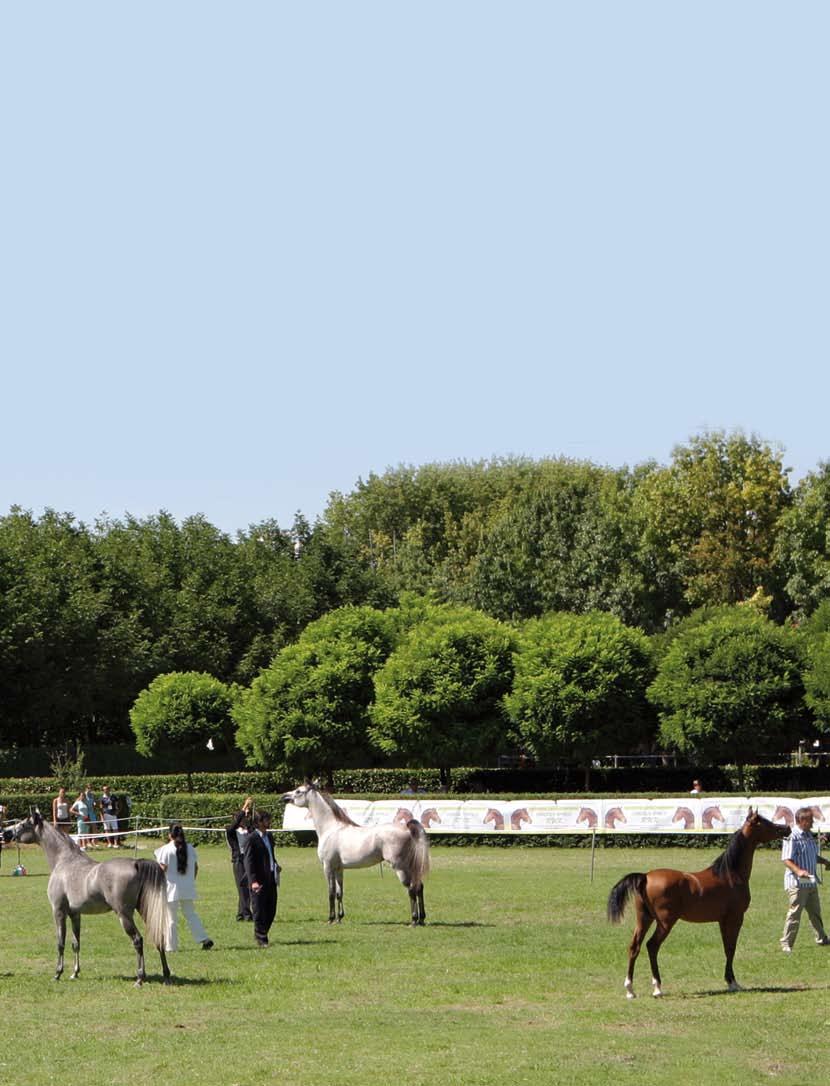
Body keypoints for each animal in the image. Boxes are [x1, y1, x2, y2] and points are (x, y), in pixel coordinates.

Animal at [2, 816, 171, 986]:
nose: (5, 833)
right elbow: (75, 943)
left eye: (23, 824)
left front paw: (58, 973)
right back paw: (166, 975)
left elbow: (60, 943)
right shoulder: (75, 914)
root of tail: (135, 863)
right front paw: (74, 973)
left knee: (137, 940)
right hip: (145, 910)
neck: (64, 862)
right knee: (159, 936)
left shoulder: (58, 912)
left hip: (124, 915)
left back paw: (140, 978)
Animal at [282, 781, 430, 925]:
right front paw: (339, 918)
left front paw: (330, 919)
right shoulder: (338, 869)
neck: (331, 829)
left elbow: (330, 893)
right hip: (410, 866)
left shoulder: (328, 867)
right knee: (419, 887)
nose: (284, 797)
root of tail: (407, 827)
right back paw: (421, 919)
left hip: (400, 867)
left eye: (298, 791)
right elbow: (339, 893)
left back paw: (414, 920)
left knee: (411, 889)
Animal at [608, 807, 790, 999]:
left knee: (634, 947)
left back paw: (630, 990)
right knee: (652, 946)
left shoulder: (722, 921)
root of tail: (645, 877)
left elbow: (726, 947)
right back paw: (657, 987)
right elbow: (731, 948)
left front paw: (729, 980)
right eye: (765, 822)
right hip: (665, 922)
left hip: (644, 919)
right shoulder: (735, 918)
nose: (786, 828)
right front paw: (733, 982)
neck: (730, 874)